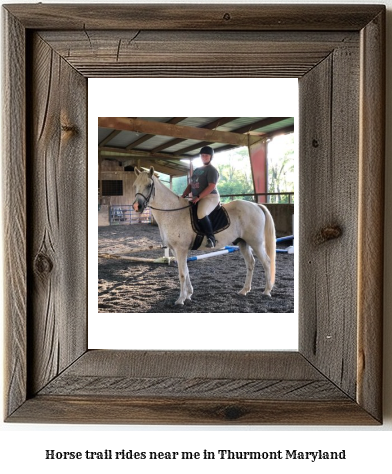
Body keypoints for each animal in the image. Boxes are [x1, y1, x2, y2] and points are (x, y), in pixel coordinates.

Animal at [133, 168, 278, 306]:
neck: (172, 211)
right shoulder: (175, 250)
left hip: (256, 243)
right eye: (135, 185)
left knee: (267, 262)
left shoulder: (181, 249)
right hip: (243, 243)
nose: (137, 206)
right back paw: (244, 290)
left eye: (149, 185)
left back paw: (267, 291)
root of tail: (256, 205)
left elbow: (182, 273)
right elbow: (186, 271)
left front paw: (180, 299)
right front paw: (188, 294)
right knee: (250, 263)